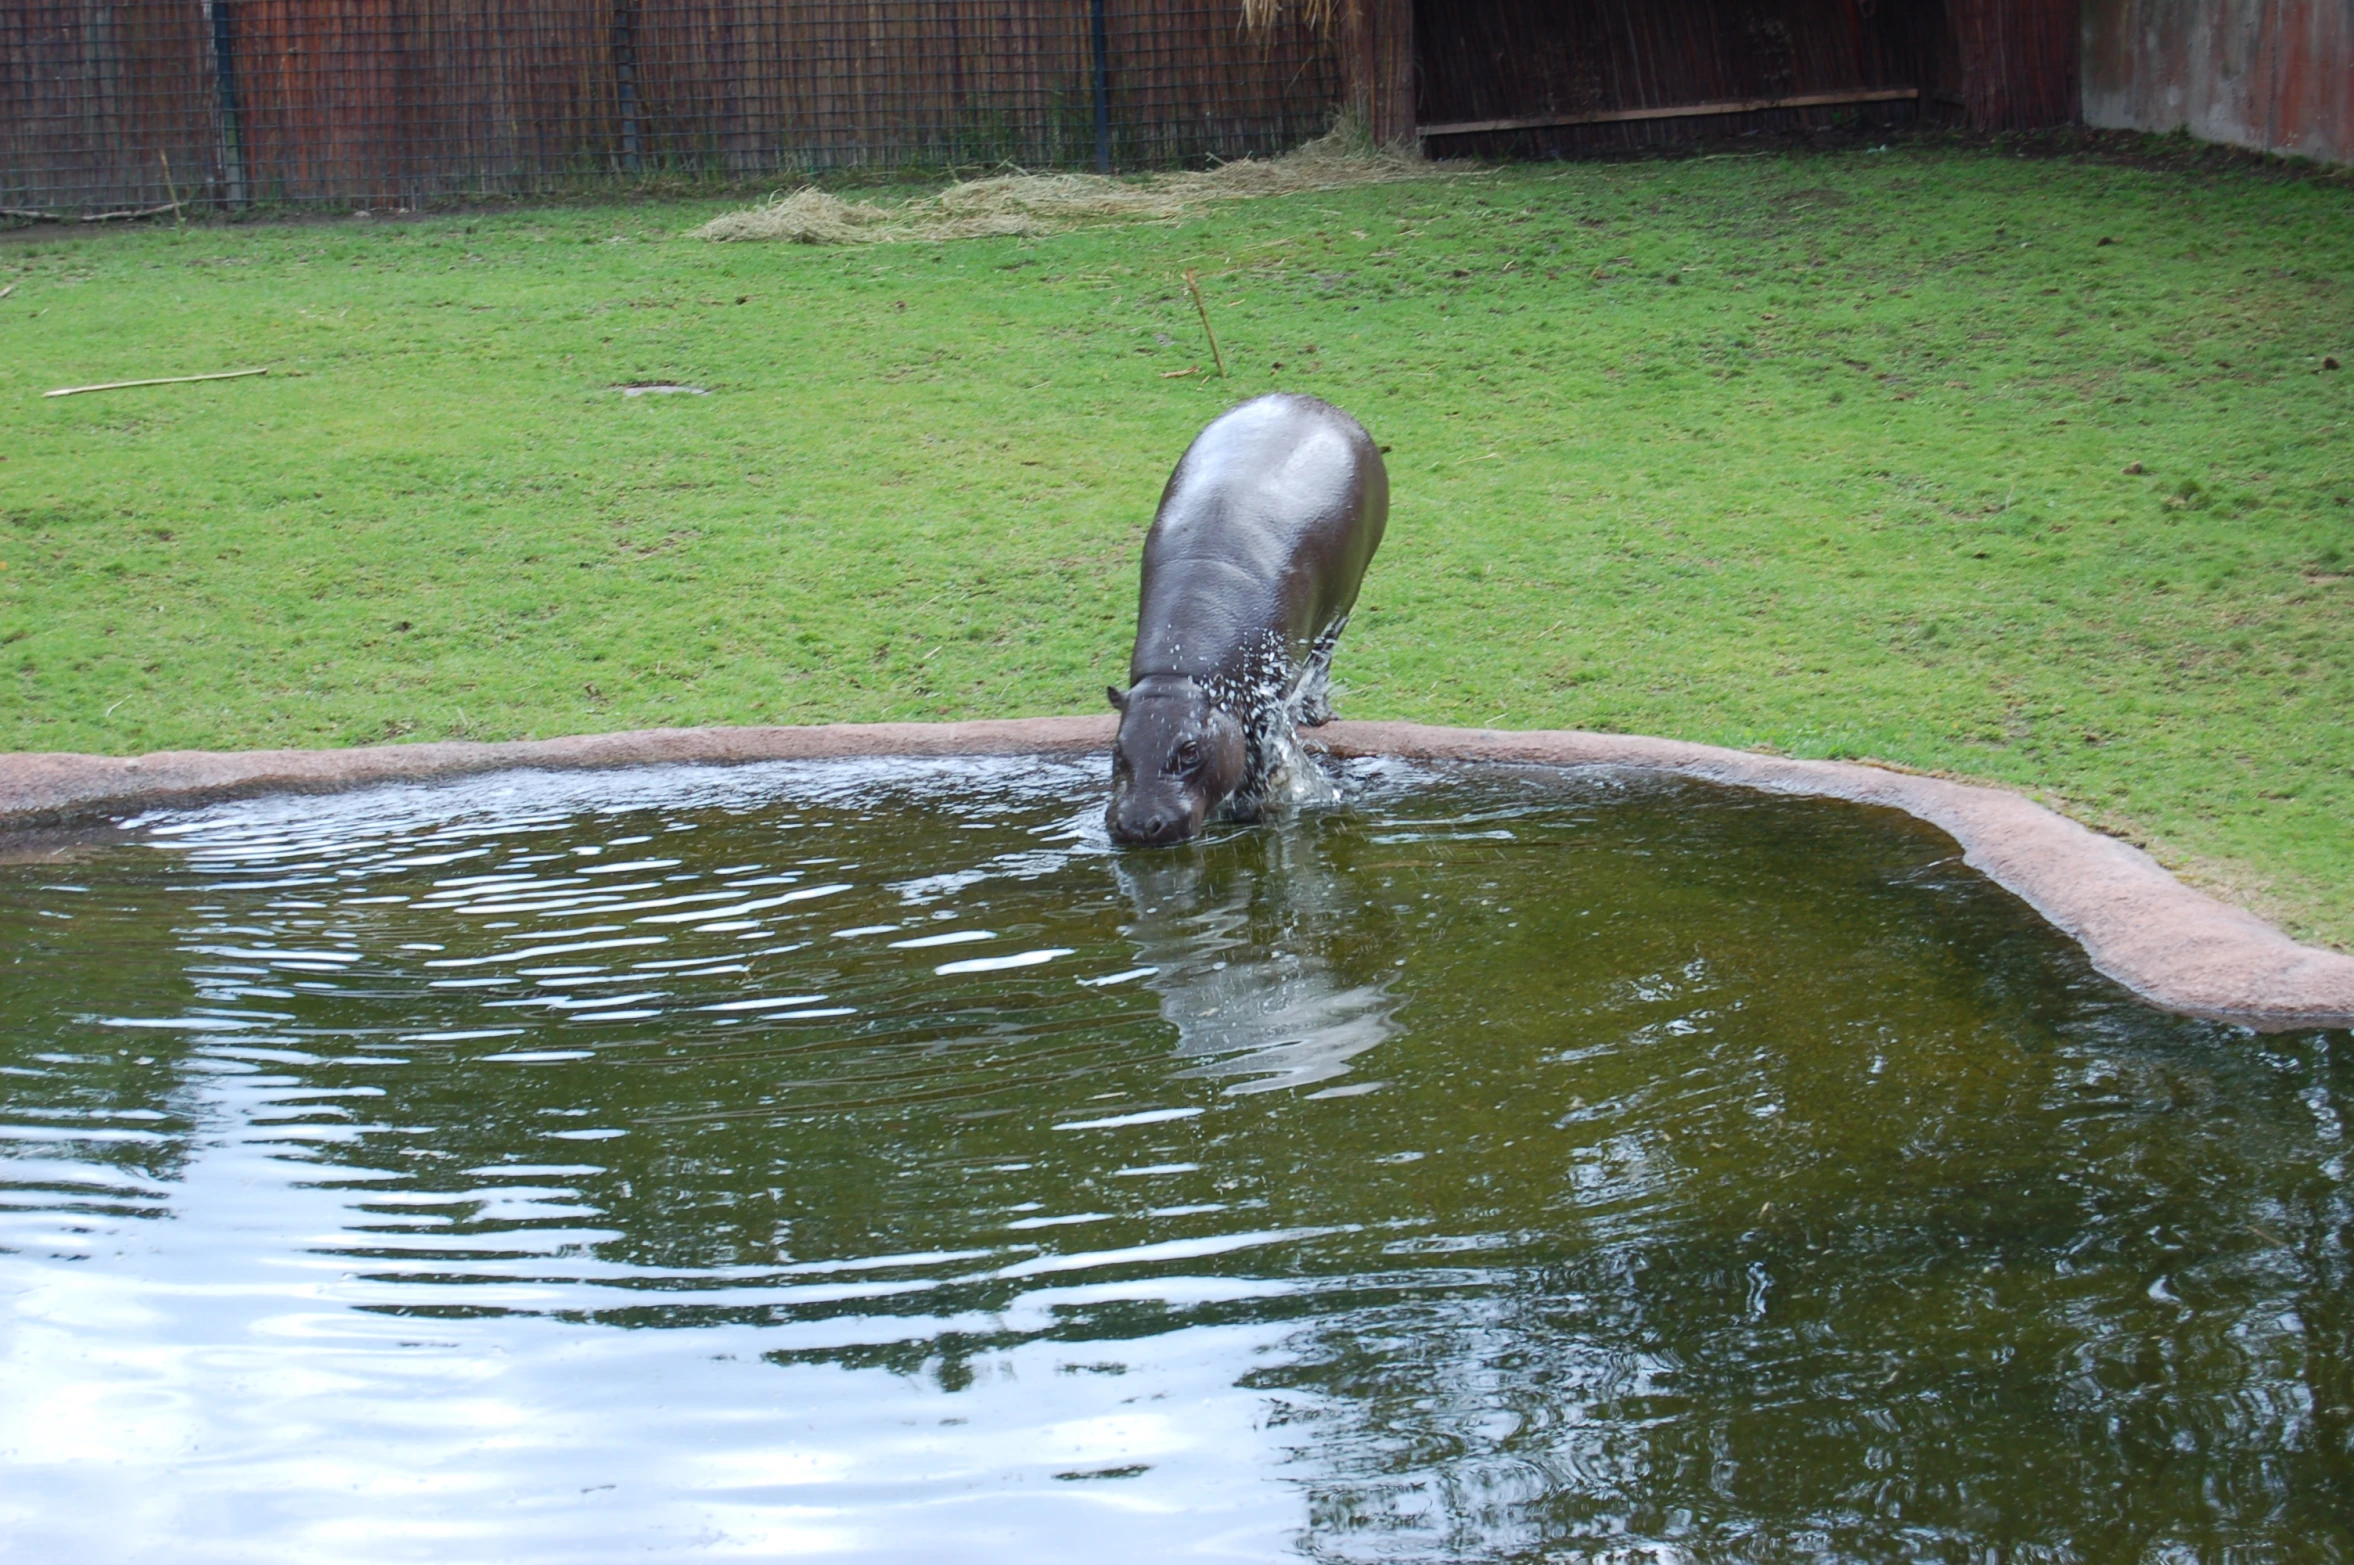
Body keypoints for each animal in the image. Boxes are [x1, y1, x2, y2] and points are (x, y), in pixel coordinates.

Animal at [1101, 397, 1374, 847]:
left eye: (1190, 750)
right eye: (1117, 749)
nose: (1139, 825)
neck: (1179, 678)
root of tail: (1321, 404)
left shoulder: (1264, 712)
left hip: (1346, 600)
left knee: (1324, 657)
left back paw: (1316, 712)